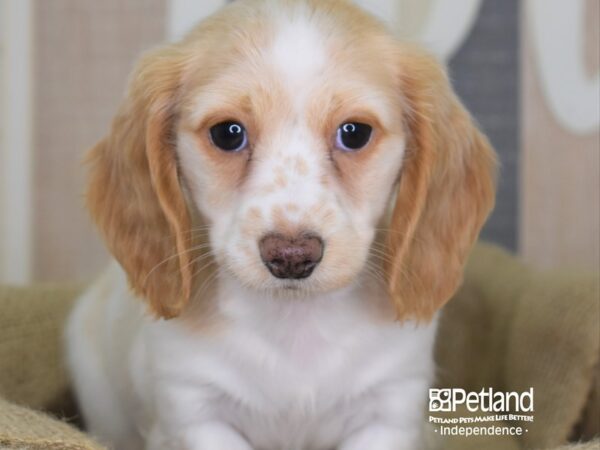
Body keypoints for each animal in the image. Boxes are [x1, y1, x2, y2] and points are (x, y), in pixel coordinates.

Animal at [65, 0, 496, 450]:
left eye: (355, 133)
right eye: (228, 133)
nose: (291, 257)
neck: (294, 327)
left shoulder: (388, 410)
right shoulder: (194, 410)